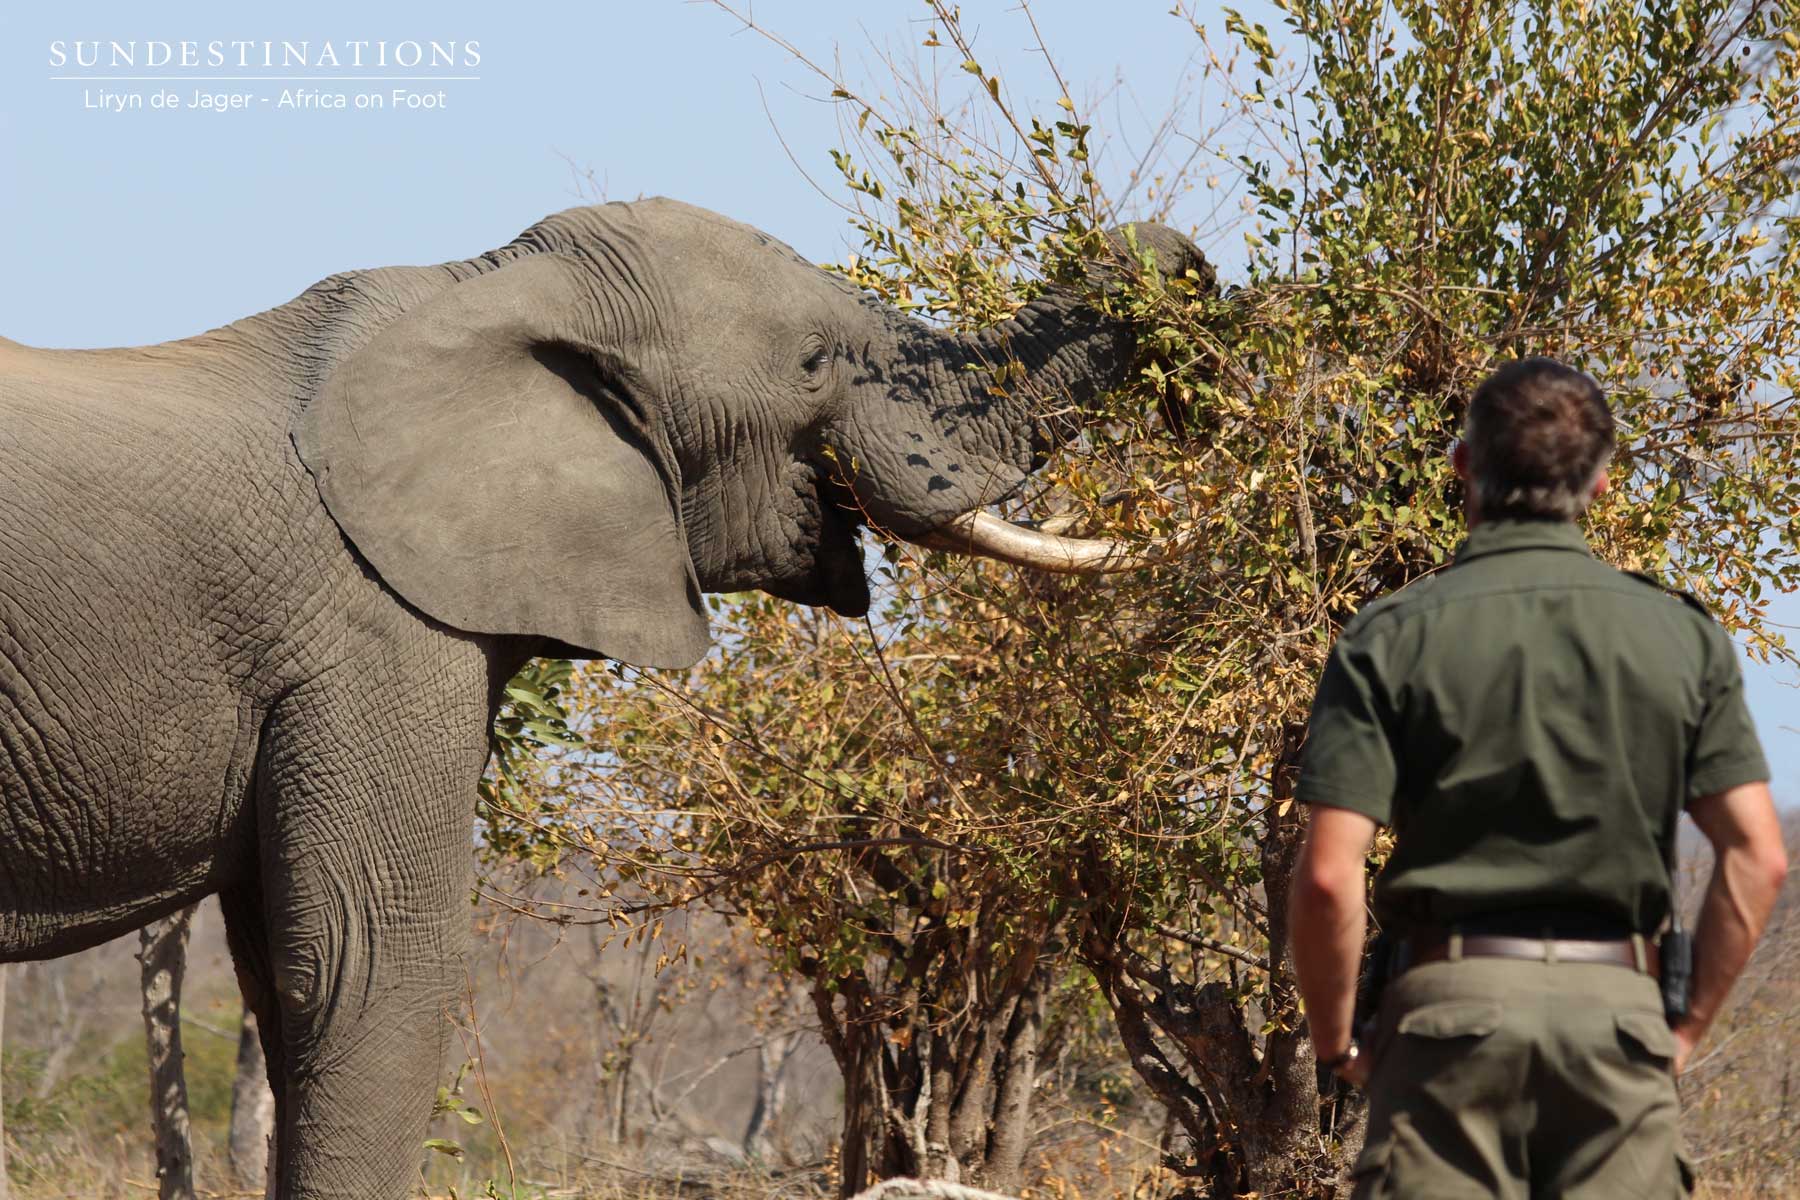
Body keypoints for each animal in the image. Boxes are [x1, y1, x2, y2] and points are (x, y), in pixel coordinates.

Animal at [0, 198, 1203, 1198]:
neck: (485, 284)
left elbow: (288, 980)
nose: (1189, 265)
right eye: (815, 363)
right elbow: (367, 965)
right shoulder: (374, 628)